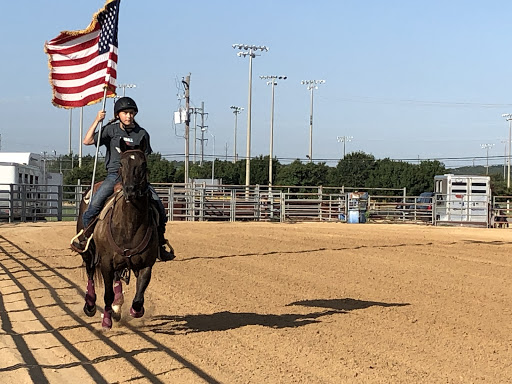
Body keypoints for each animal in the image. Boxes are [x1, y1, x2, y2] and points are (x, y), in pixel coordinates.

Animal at [75, 138, 158, 330]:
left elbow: (138, 297)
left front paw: (135, 310)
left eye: (143, 164)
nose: (131, 190)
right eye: (121, 163)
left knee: (117, 279)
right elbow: (107, 294)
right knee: (90, 272)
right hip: (88, 252)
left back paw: (118, 306)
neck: (129, 226)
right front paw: (106, 319)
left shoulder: (146, 265)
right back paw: (90, 305)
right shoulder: (106, 262)